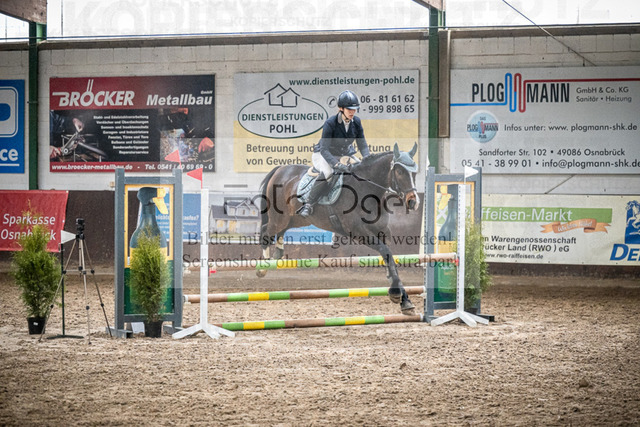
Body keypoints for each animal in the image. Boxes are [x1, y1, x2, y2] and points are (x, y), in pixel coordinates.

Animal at [257, 143, 421, 315]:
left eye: (414, 173)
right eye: (400, 171)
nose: (413, 202)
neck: (366, 188)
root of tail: (280, 169)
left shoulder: (382, 231)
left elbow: (389, 257)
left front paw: (405, 301)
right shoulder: (358, 231)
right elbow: (385, 251)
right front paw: (396, 293)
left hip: (294, 219)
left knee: (280, 231)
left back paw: (277, 253)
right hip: (279, 218)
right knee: (266, 232)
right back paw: (263, 267)